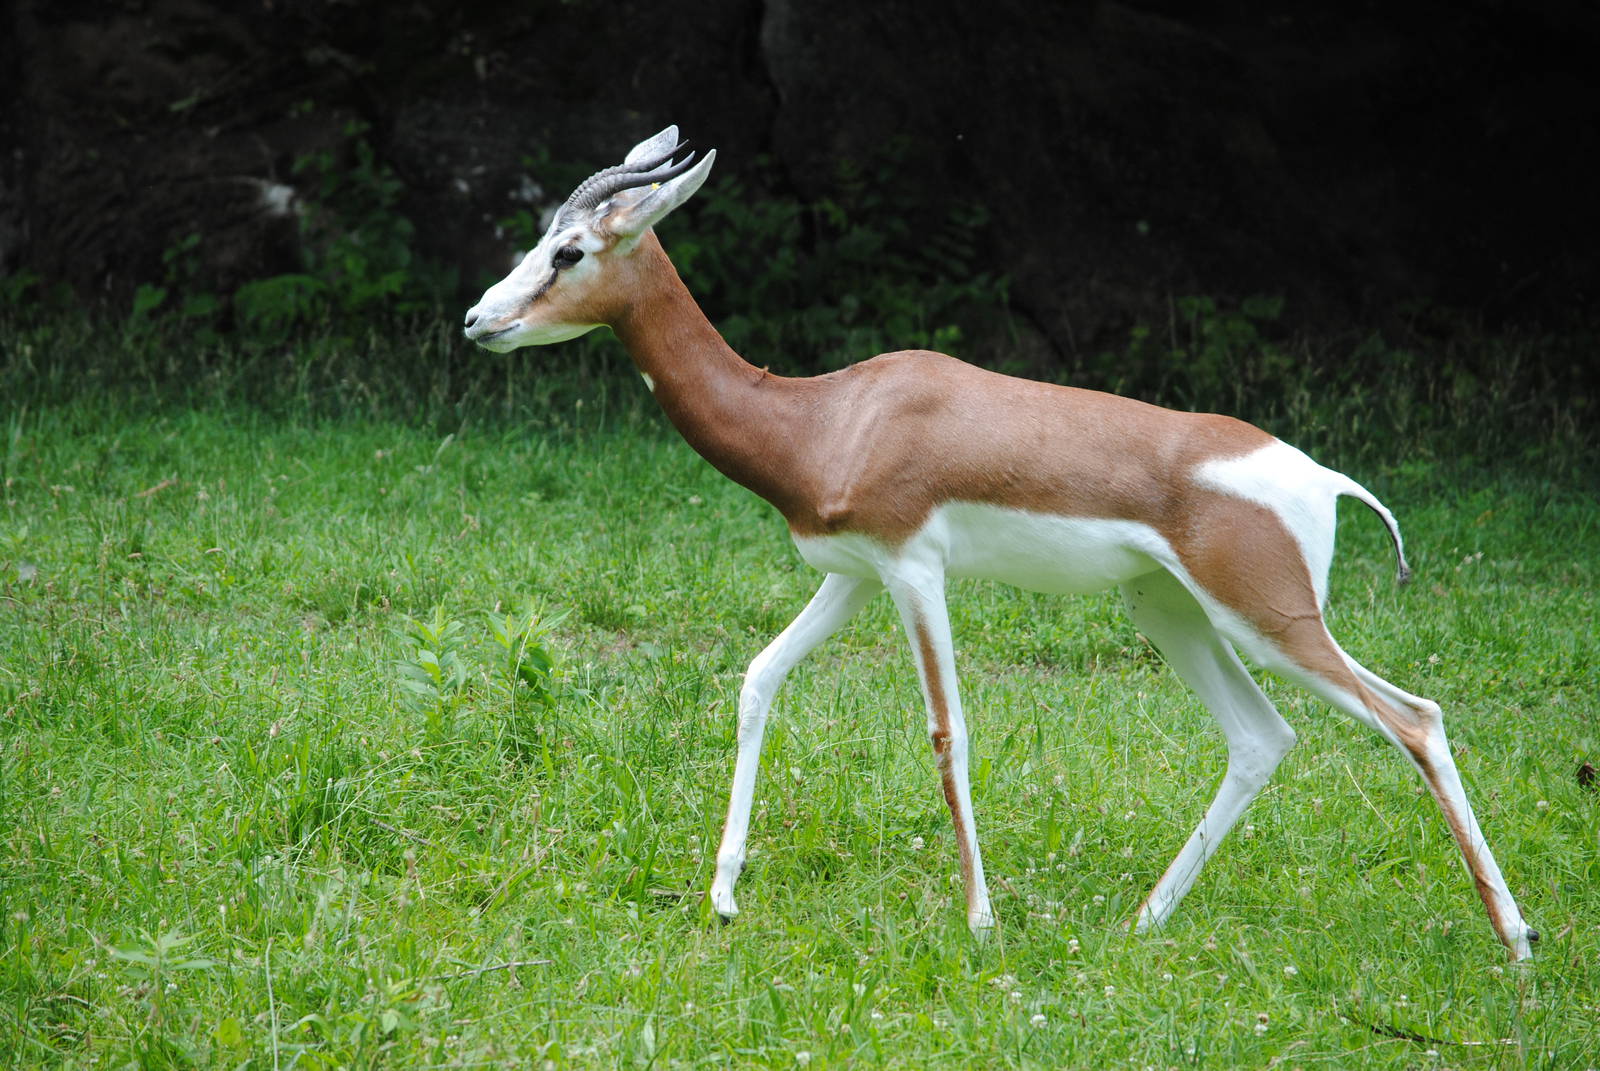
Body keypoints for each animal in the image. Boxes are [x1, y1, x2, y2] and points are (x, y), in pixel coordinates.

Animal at [463, 126, 1536, 960]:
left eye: (568, 253)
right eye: (538, 238)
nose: (479, 318)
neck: (828, 417)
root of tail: (1321, 478)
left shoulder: (913, 571)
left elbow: (948, 732)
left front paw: (980, 922)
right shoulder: (853, 577)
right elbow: (760, 678)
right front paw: (723, 894)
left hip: (1269, 618)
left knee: (1414, 717)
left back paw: (1516, 940)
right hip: (1173, 611)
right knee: (1262, 736)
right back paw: (1144, 921)